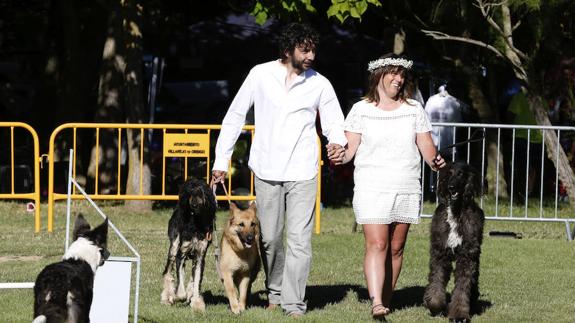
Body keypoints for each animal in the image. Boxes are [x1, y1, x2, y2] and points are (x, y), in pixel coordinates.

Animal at [161, 178, 217, 312]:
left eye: (201, 194)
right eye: (190, 194)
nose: (193, 205)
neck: (196, 223)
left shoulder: (200, 256)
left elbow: (196, 281)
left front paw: (197, 303)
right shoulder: (181, 254)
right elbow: (180, 286)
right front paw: (178, 297)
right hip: (174, 246)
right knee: (167, 272)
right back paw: (167, 297)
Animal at [424, 163, 486, 322]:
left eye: (461, 174)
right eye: (449, 173)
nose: (451, 187)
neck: (455, 210)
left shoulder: (467, 255)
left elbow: (462, 287)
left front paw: (459, 315)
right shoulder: (440, 252)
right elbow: (436, 279)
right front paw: (434, 305)